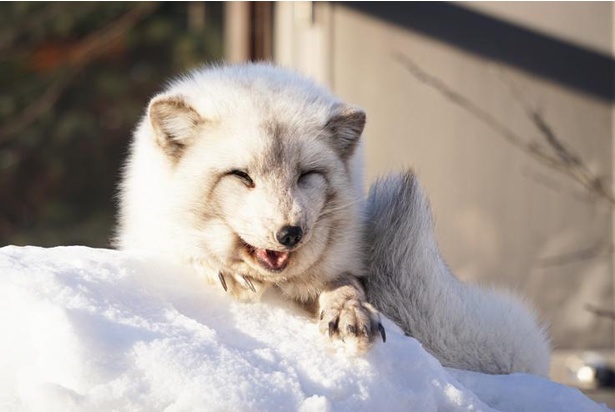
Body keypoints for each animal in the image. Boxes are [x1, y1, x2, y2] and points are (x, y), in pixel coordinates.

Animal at [118, 62, 552, 376]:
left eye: (306, 175)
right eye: (241, 176)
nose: (290, 233)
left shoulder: (344, 264)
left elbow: (344, 284)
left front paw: (348, 310)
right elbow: (188, 250)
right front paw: (220, 267)